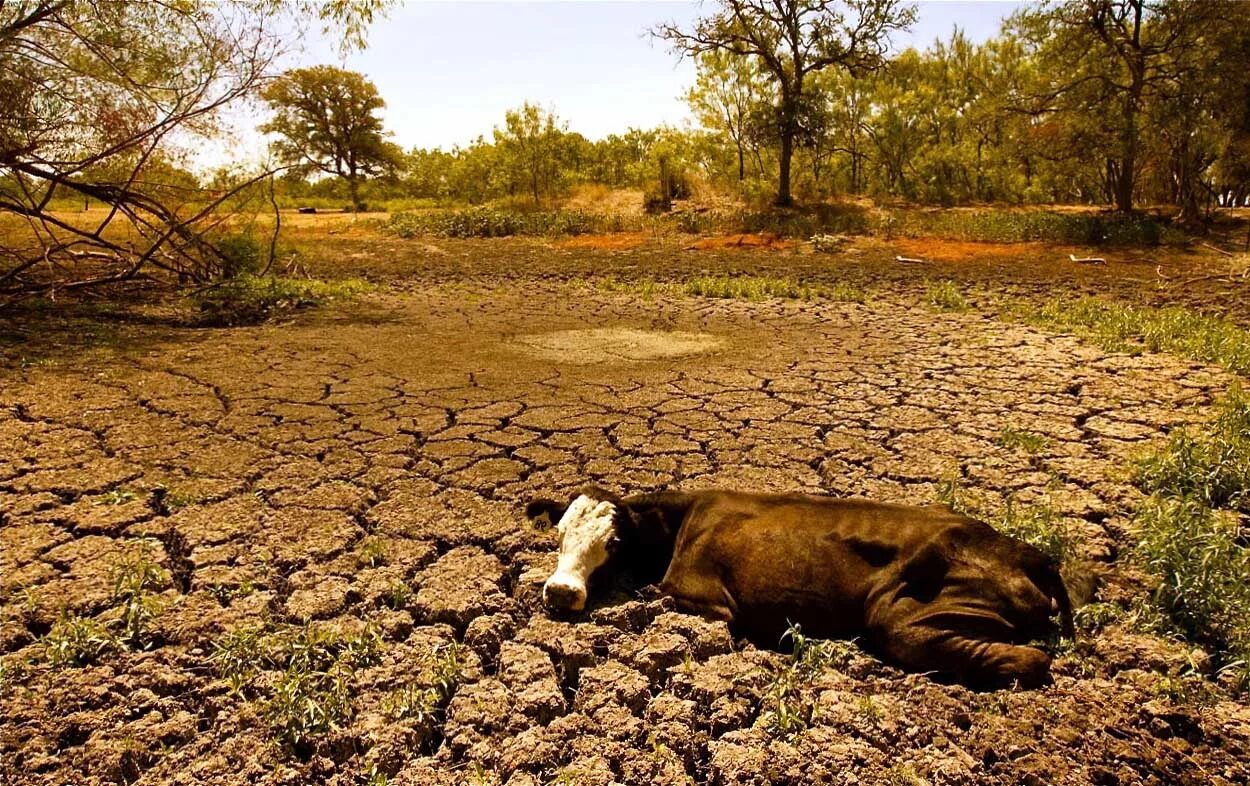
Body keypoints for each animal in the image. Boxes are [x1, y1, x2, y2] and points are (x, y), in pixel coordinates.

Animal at [527, 484, 1075, 684]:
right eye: (559, 533)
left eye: (614, 542)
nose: (560, 592)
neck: (680, 521)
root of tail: (1030, 554)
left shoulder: (709, 599)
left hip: (904, 616)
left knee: (1031, 658)